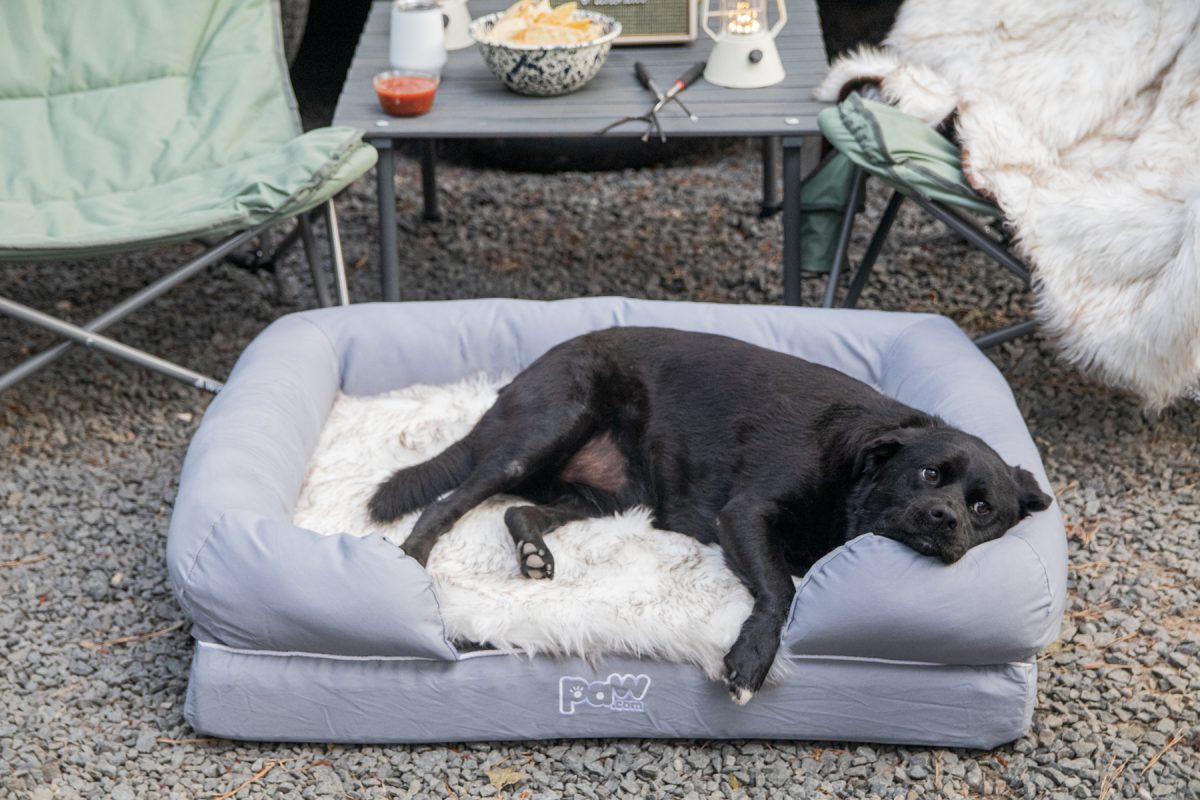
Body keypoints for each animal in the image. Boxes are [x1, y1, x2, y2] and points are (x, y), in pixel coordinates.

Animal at [367, 328, 1051, 705]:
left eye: (983, 509)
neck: (854, 461)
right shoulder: (743, 514)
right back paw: (411, 560)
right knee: (449, 501)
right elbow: (780, 589)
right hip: (542, 434)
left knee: (518, 513)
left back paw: (535, 554)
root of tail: (513, 384)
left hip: (608, 495)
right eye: (930, 475)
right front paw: (750, 660)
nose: (943, 519)